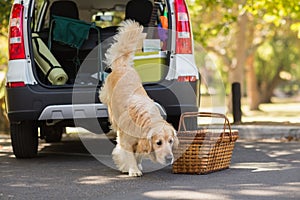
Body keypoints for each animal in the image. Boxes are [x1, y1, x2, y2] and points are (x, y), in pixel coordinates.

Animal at [99, 20, 178, 177]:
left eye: (171, 141)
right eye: (158, 142)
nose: (169, 158)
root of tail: (123, 65)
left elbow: (139, 153)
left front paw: (138, 164)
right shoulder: (125, 140)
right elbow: (128, 154)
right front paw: (132, 169)